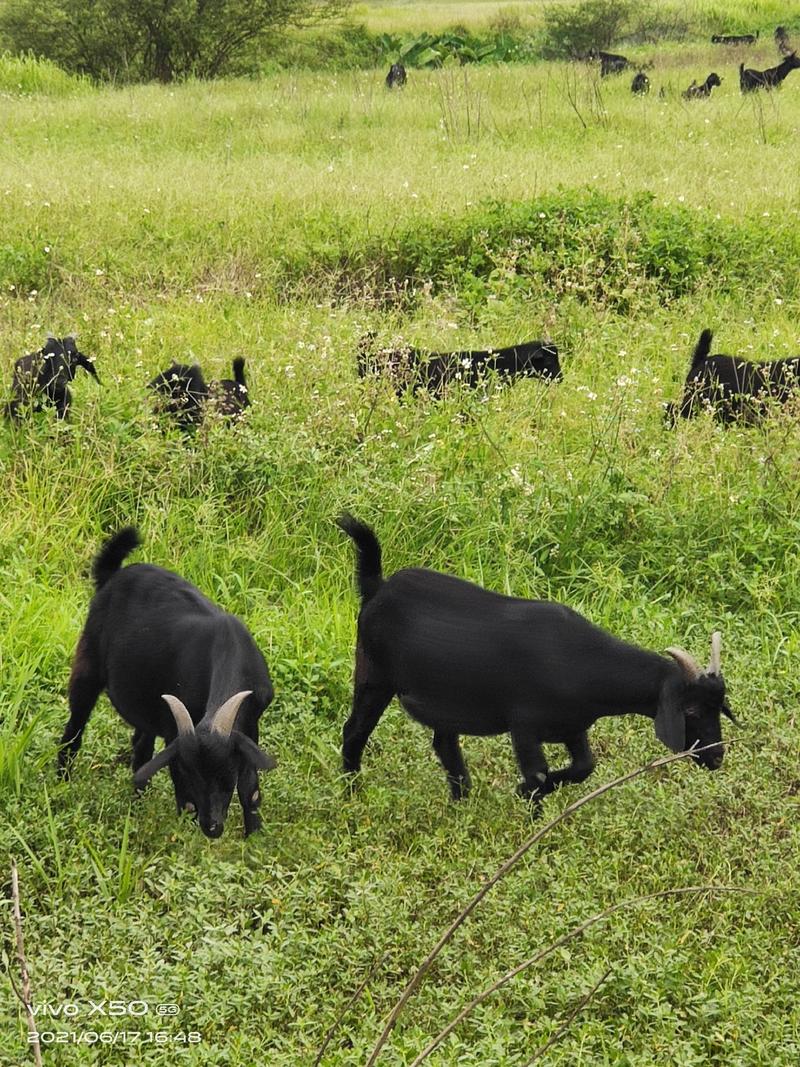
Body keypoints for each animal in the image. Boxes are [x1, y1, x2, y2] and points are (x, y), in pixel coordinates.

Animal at [57, 529, 277, 836]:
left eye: (226, 774)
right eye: (192, 773)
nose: (212, 827)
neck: (227, 648)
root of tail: (114, 575)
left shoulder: (249, 724)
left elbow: (251, 789)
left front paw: (253, 834)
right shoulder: (176, 731)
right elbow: (183, 793)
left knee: (141, 746)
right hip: (88, 665)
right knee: (75, 728)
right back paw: (61, 783)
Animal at [334, 512, 738, 802]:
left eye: (720, 707)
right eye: (690, 710)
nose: (717, 757)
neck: (585, 664)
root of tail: (376, 587)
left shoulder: (574, 726)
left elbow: (585, 767)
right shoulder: (524, 726)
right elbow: (538, 775)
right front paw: (527, 800)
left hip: (444, 697)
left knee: (444, 743)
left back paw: (461, 800)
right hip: (374, 674)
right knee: (354, 731)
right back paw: (352, 794)